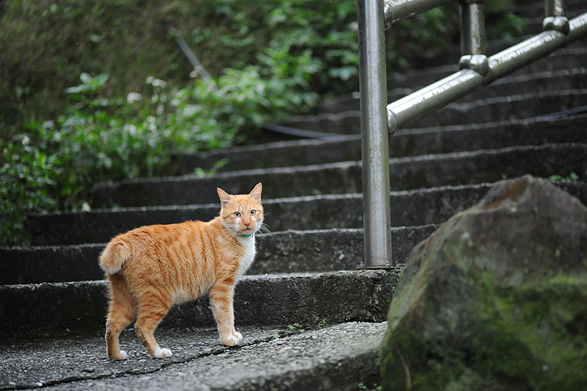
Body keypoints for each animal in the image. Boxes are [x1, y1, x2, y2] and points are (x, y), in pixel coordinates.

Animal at [99, 184, 264, 362]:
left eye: (252, 212)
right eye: (237, 214)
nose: (247, 223)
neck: (235, 236)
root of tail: (124, 239)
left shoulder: (229, 287)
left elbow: (231, 314)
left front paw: (234, 334)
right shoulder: (222, 288)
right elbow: (225, 315)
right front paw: (228, 339)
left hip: (124, 299)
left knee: (112, 325)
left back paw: (116, 356)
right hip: (159, 298)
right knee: (141, 326)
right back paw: (158, 352)